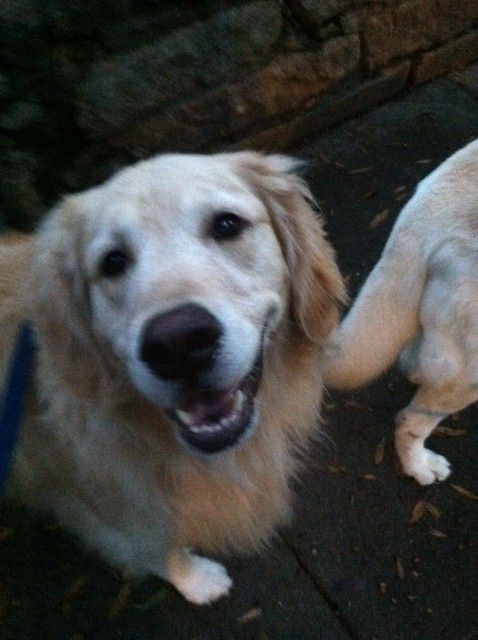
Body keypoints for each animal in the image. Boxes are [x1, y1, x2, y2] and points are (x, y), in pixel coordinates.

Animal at [0, 152, 346, 604]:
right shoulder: (103, 511)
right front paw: (198, 581)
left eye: (227, 225)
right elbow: (159, 551)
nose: (178, 343)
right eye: (112, 262)